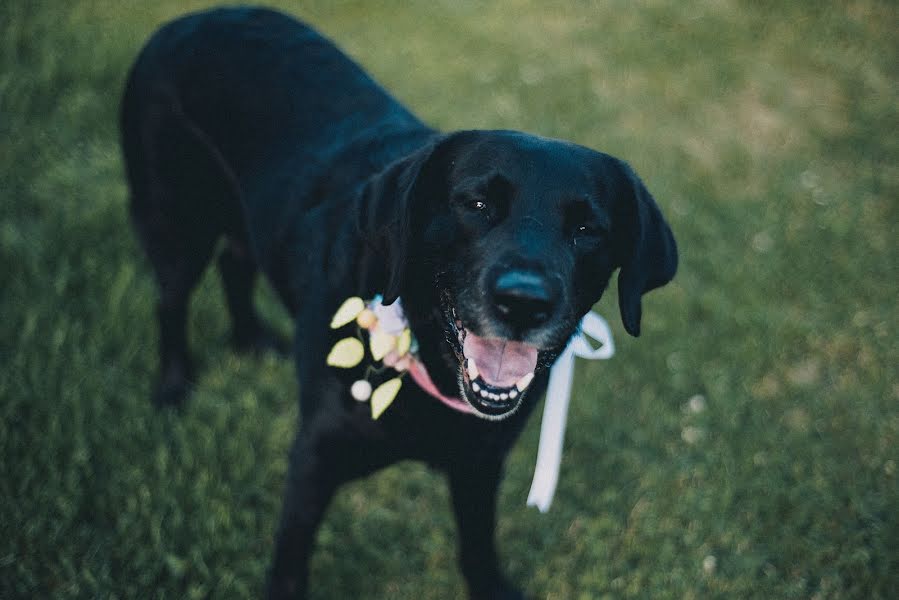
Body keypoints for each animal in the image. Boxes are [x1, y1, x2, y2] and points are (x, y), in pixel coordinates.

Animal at [123, 5, 680, 600]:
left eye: (586, 229)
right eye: (476, 204)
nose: (524, 303)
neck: (430, 358)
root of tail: (192, 17)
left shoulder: (481, 463)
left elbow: (477, 545)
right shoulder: (315, 456)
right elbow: (291, 559)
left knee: (235, 261)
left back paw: (251, 339)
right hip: (174, 217)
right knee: (171, 300)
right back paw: (174, 387)